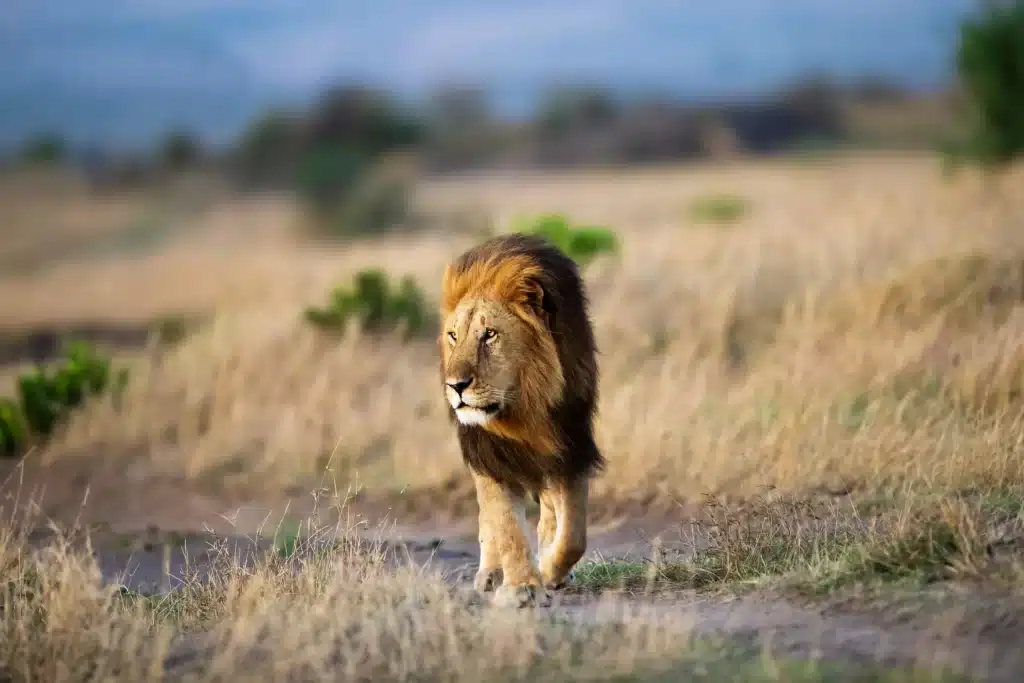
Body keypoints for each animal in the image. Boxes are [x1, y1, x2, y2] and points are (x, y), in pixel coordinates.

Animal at [436, 232, 602, 606]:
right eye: (454, 336)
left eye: (489, 335)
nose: (456, 386)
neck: (524, 406)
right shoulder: (489, 452)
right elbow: (506, 525)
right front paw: (522, 588)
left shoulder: (571, 445)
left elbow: (574, 534)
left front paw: (550, 570)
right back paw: (492, 573)